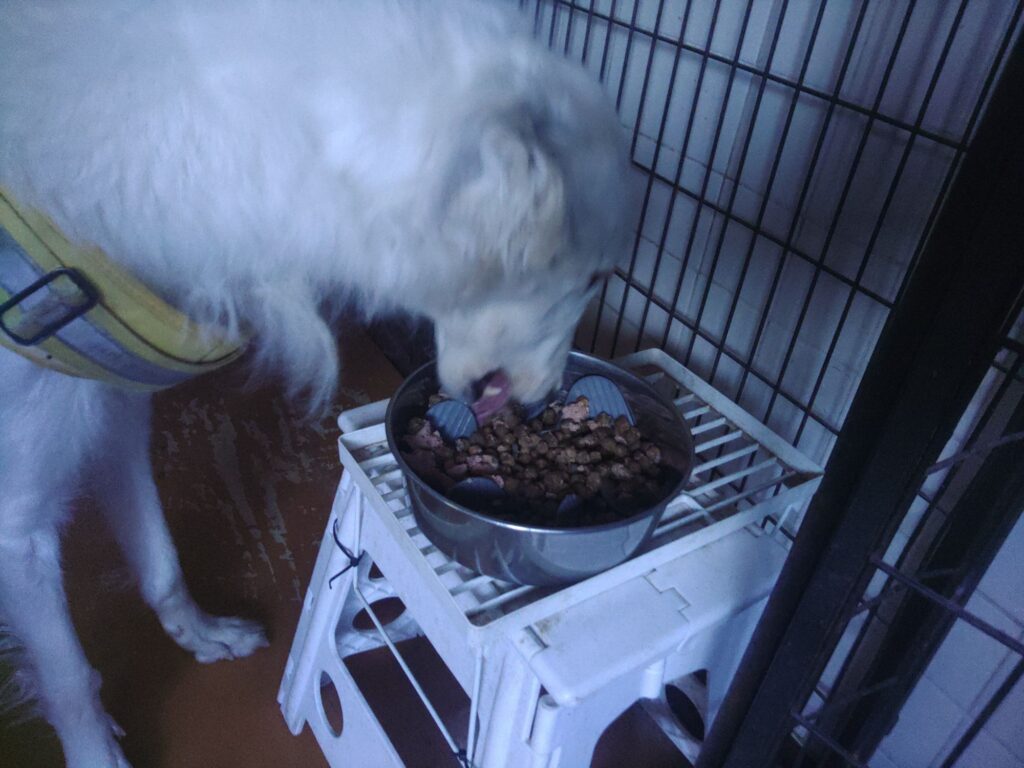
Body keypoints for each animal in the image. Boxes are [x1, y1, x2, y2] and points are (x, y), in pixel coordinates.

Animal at [0, 1, 628, 765]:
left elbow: (161, 562)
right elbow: (69, 682)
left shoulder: (114, 419)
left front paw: (199, 633)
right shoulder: (16, 521)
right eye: (593, 276)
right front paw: (96, 752)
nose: (546, 401)